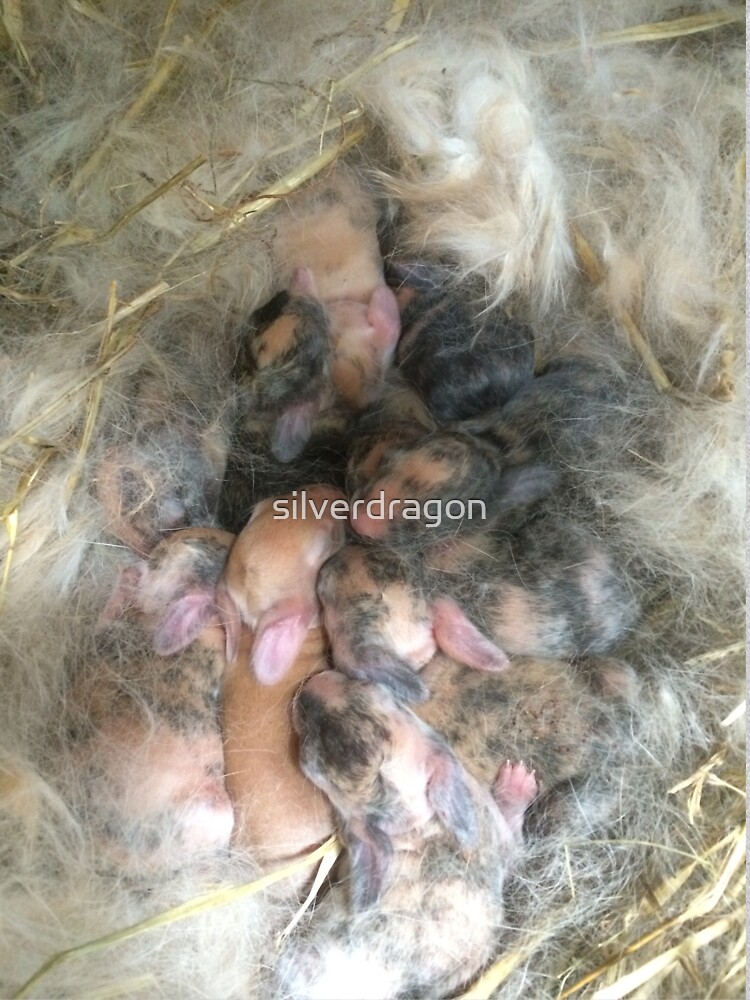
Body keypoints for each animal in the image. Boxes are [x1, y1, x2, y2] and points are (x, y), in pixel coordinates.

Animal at [276, 670, 538, 999]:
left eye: (372, 689)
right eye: (306, 760)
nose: (313, 684)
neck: (417, 826)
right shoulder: (494, 832)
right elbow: (517, 845)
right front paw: (518, 783)